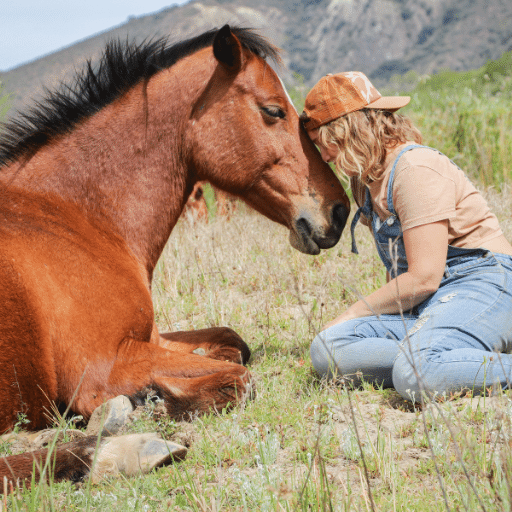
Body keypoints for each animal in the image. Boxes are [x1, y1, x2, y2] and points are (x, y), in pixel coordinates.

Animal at [0, 25, 348, 492]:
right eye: (273, 110)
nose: (339, 211)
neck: (73, 215)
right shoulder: (102, 367)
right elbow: (240, 379)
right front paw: (149, 400)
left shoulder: (147, 338)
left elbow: (232, 343)